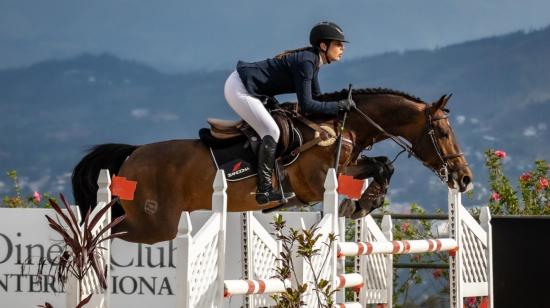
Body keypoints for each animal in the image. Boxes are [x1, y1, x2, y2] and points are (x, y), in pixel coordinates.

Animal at [72, 88, 474, 244]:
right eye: (442, 132)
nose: (465, 178)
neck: (338, 125)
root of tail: (131, 155)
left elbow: (381, 166)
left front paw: (362, 203)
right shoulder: (315, 182)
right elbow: (378, 167)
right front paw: (362, 203)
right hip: (155, 226)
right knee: (107, 234)